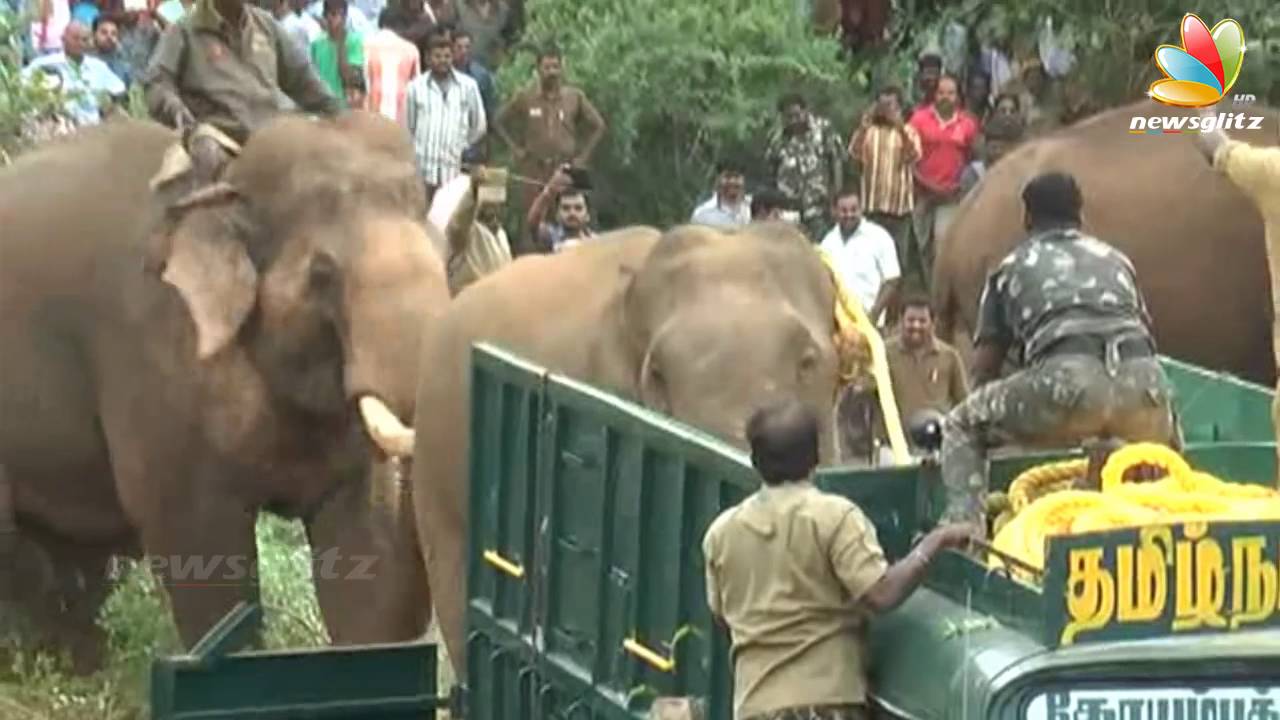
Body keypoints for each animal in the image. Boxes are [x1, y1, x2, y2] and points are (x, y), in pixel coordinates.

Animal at [0, 113, 445, 671]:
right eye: (322, 274)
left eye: (444, 253)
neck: (224, 187)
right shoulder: (154, 356)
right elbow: (199, 544)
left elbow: (365, 544)